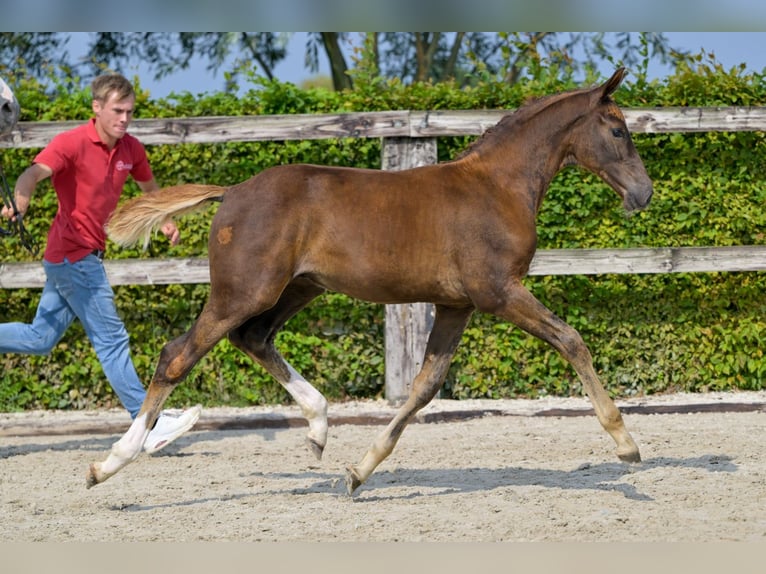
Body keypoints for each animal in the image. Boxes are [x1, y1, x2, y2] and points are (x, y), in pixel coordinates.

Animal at [88, 68, 656, 496]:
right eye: (618, 131)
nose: (645, 194)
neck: (498, 186)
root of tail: (232, 191)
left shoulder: (457, 305)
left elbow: (424, 387)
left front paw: (359, 472)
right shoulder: (498, 293)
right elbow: (571, 339)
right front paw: (626, 443)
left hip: (298, 287)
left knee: (253, 338)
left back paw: (319, 427)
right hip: (244, 292)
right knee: (177, 355)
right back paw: (108, 463)